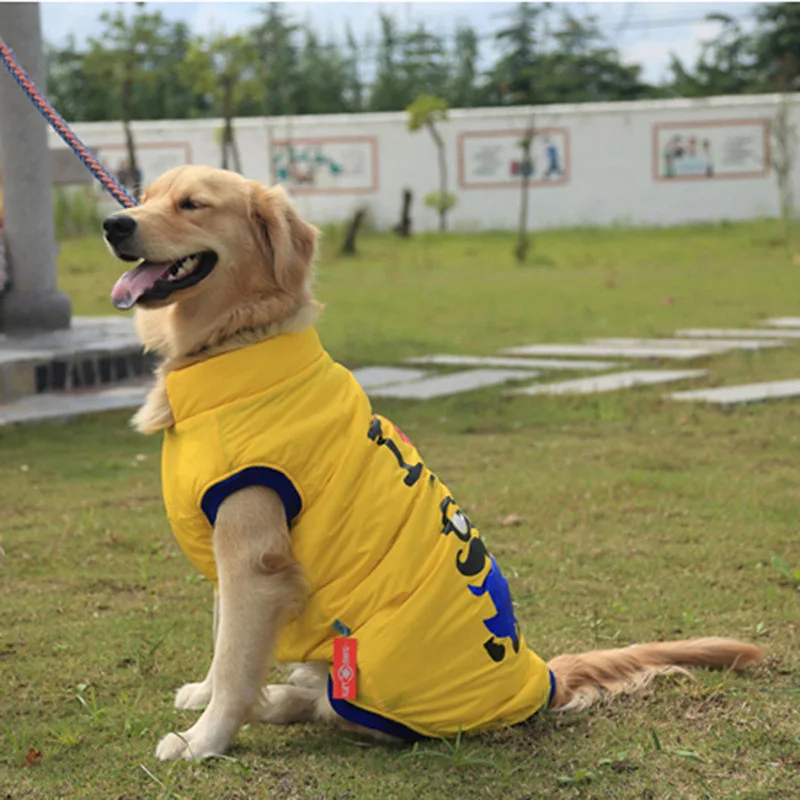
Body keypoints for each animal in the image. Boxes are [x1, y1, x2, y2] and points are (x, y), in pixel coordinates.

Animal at [103, 164, 764, 764]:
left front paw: (204, 739)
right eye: (145, 196)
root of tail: (541, 676)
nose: (114, 223)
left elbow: (236, 658)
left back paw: (274, 701)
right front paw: (204, 694)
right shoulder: (227, 541)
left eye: (192, 204)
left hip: (373, 666)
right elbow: (223, 638)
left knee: (333, 709)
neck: (240, 346)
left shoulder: (254, 555)